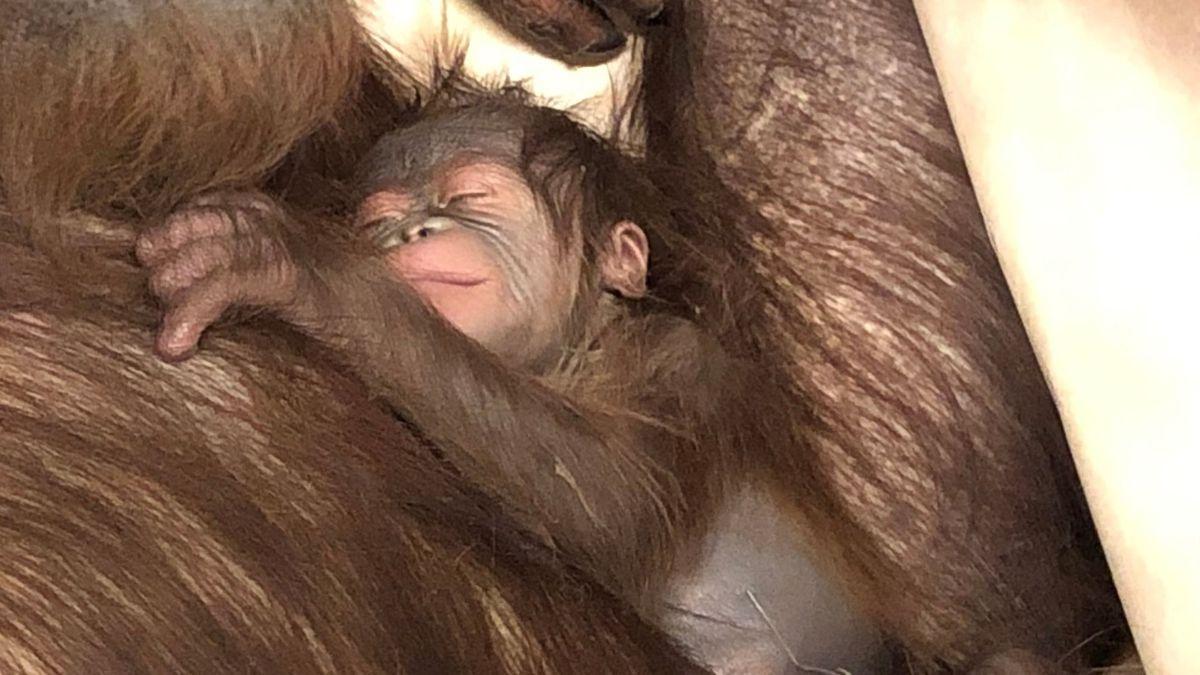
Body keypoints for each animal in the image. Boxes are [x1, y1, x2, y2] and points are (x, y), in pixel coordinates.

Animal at [133, 97, 890, 674]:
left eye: (472, 196)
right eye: (379, 220)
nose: (412, 230)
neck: (574, 355)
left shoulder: (682, 364)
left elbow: (610, 494)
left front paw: (293, 262)